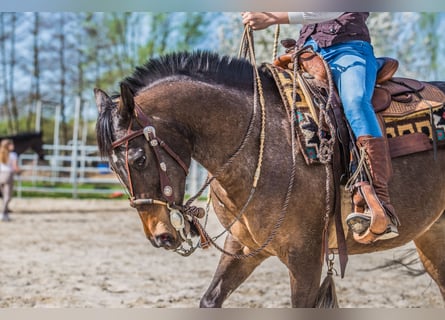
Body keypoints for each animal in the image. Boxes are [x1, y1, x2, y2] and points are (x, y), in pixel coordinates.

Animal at [94, 50, 444, 308]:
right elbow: (210, 299)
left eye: (138, 159)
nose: (161, 236)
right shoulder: (244, 248)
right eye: (111, 166)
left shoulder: (305, 258)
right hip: (431, 236)